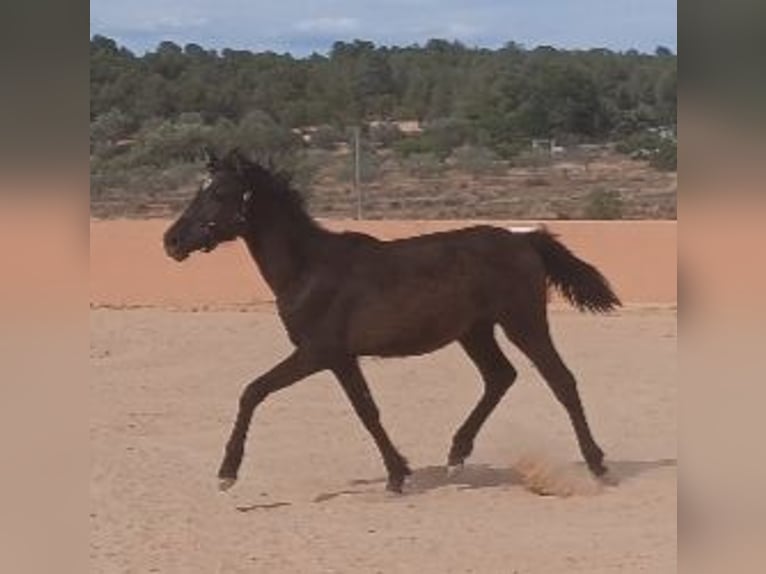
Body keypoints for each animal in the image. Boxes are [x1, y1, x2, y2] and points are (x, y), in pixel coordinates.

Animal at [165, 150, 620, 496]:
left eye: (219, 193)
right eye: (199, 190)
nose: (171, 241)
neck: (309, 269)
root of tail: (523, 238)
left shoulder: (318, 353)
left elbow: (253, 392)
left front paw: (227, 473)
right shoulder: (341, 359)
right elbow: (367, 410)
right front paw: (398, 473)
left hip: (522, 322)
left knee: (561, 380)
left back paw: (597, 465)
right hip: (474, 331)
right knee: (500, 377)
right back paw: (457, 455)